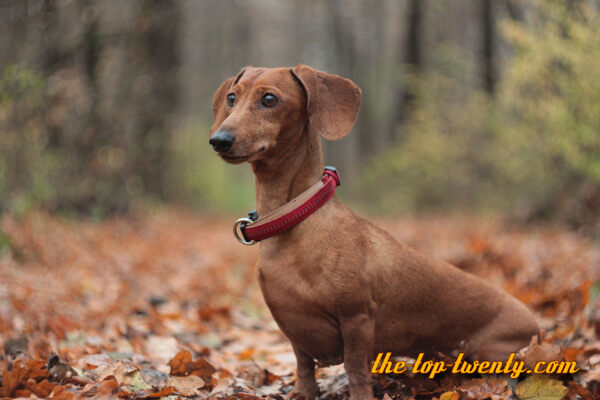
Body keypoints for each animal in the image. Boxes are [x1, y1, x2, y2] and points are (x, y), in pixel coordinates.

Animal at [210, 65, 540, 400]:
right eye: (232, 98)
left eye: (269, 99)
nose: (218, 140)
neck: (292, 218)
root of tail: (537, 326)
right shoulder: (294, 327)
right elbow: (303, 364)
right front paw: (303, 392)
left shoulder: (357, 319)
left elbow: (355, 368)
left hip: (488, 352)